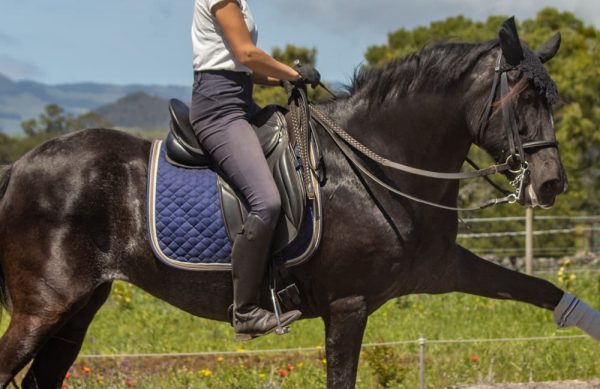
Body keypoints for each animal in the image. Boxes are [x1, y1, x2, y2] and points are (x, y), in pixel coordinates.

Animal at [1, 18, 600, 388]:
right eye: (523, 97)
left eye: (550, 97)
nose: (551, 184)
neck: (379, 161)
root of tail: (21, 165)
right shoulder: (348, 305)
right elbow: (342, 377)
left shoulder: (442, 269)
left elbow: (541, 289)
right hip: (44, 307)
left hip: (79, 307)